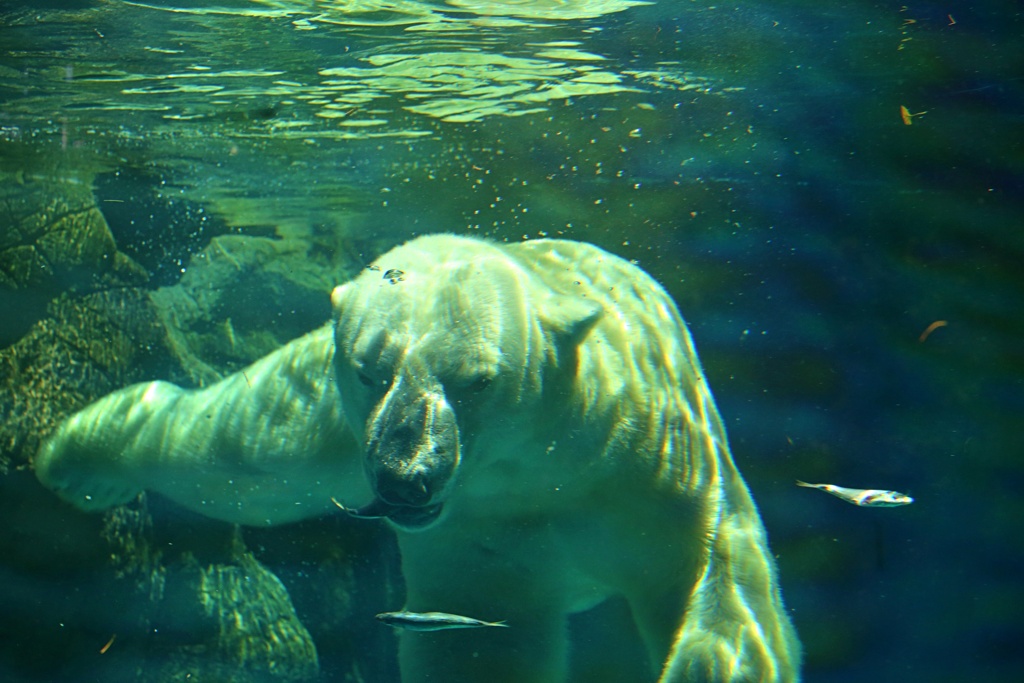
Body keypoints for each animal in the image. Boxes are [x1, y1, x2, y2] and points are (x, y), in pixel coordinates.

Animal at [36, 233, 798, 683]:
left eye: (478, 379)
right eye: (370, 369)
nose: (405, 479)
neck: (538, 465)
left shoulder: (653, 468)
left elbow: (716, 582)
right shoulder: (483, 533)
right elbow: (483, 640)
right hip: (329, 432)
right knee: (240, 458)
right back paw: (77, 461)